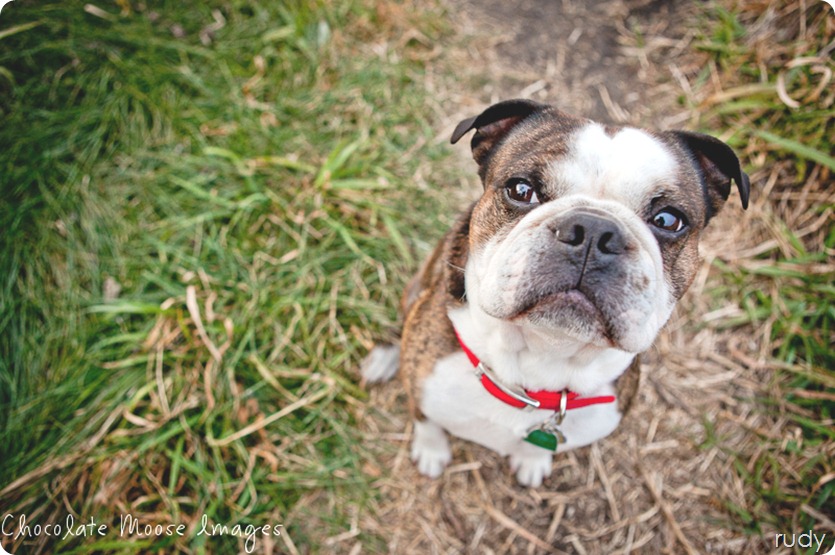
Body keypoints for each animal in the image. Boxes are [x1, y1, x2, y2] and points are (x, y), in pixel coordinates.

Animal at [364, 99, 752, 486]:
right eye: (521, 190)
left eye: (669, 220)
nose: (593, 230)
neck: (540, 362)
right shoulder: (423, 389)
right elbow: (425, 421)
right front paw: (431, 452)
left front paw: (531, 461)